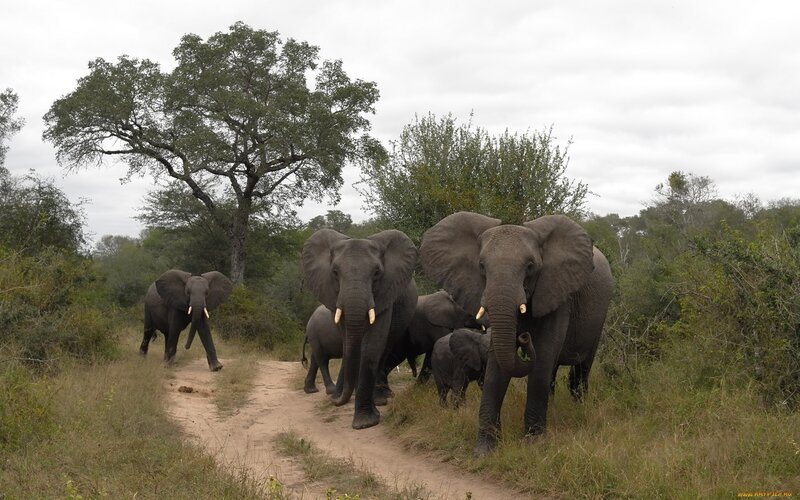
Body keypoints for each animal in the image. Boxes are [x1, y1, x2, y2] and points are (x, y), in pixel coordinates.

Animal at [302, 229, 418, 429]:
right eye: (335, 272)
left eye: (377, 273)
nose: (336, 402)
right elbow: (347, 342)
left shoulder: (386, 293)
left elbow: (371, 346)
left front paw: (365, 423)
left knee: (384, 350)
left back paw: (379, 398)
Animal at [420, 211, 614, 456]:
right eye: (481, 266)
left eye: (530, 266)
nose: (523, 337)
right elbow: (497, 362)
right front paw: (484, 451)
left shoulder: (557, 292)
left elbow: (543, 356)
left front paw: (534, 444)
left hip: (599, 316)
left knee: (581, 367)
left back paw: (578, 408)